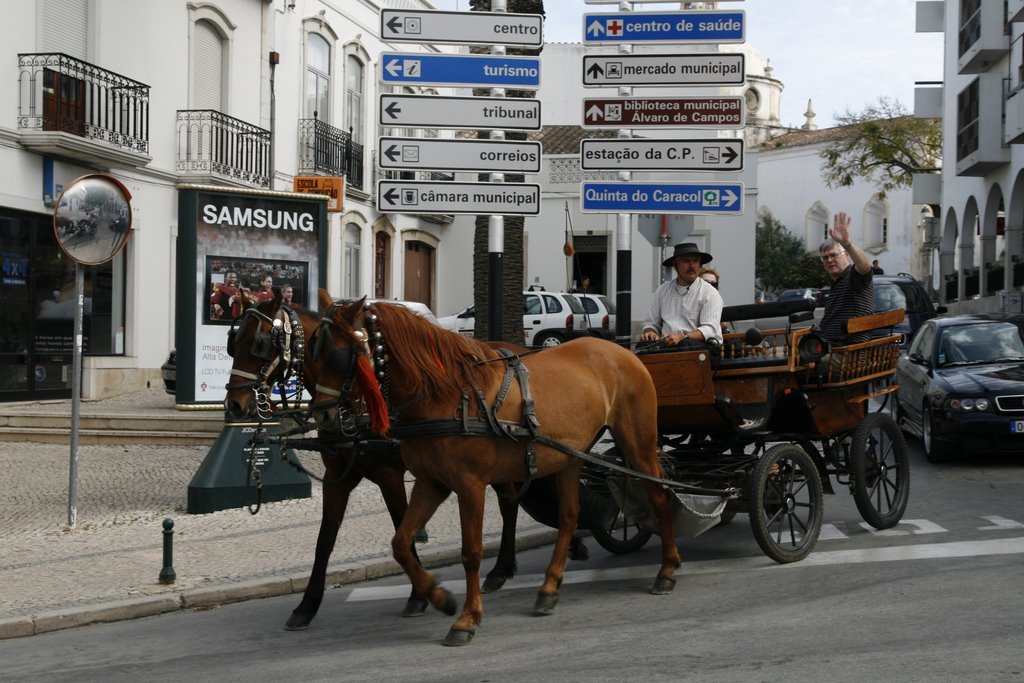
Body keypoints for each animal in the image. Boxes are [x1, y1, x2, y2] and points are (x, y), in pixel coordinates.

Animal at [221, 288, 524, 630]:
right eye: (233, 343)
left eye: (258, 343)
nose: (234, 403)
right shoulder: (337, 477)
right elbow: (325, 539)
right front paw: (307, 605)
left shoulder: (389, 475)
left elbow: (401, 525)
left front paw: (419, 596)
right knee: (510, 499)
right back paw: (502, 569)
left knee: (509, 502)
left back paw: (500, 568)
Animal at [309, 296, 679, 647]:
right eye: (313, 353)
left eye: (337, 355)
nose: (323, 417)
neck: (446, 394)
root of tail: (622, 350)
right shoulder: (431, 483)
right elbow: (401, 542)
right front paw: (438, 596)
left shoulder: (470, 485)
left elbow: (471, 552)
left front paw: (467, 619)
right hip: (569, 456)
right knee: (570, 515)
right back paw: (549, 587)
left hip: (637, 442)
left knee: (659, 496)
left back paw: (667, 569)